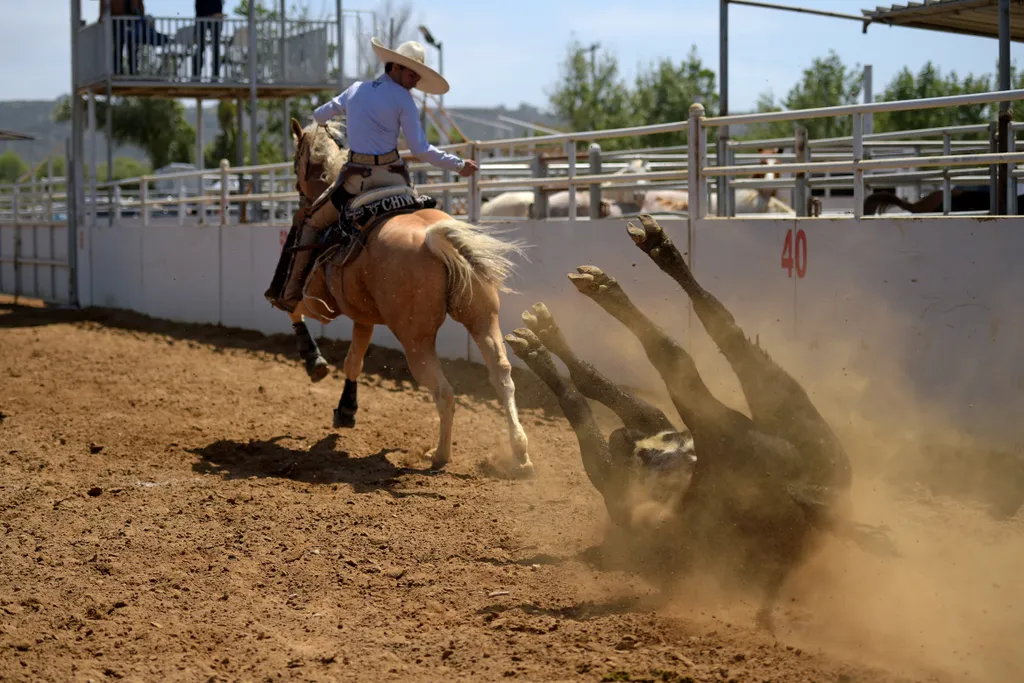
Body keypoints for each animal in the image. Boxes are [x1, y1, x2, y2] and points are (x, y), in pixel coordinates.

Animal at [284, 120, 532, 475]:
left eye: (297, 161)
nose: (302, 197)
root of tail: (433, 238)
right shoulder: (363, 316)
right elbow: (354, 360)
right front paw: (346, 409)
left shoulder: (321, 305)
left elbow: (294, 310)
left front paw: (313, 361)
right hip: (483, 319)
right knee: (501, 375)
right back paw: (520, 454)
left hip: (416, 341)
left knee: (444, 392)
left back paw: (440, 455)